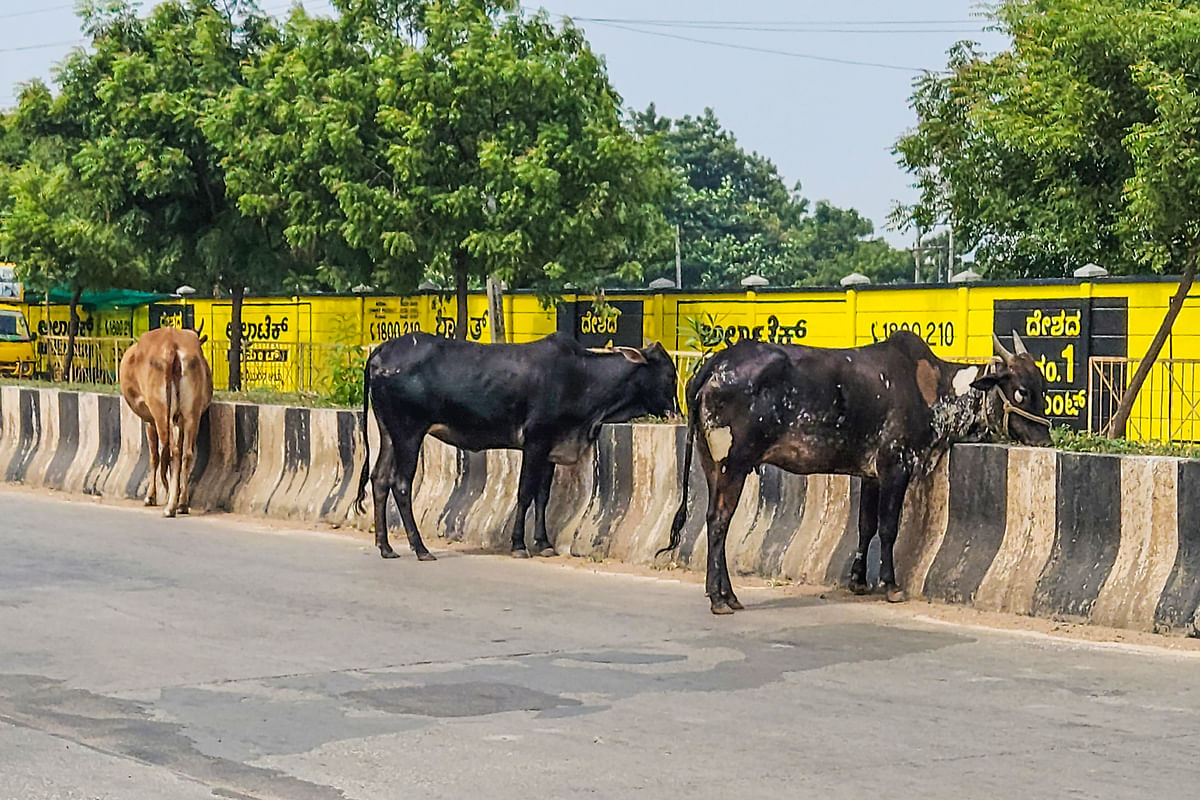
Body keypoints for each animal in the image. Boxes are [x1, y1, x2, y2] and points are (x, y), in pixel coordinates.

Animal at [119, 326, 213, 520]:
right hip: (191, 413)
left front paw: (150, 496)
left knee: (171, 451)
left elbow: (155, 456)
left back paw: (170, 506)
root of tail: (172, 346)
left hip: (161, 411)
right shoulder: (180, 420)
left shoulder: (150, 421)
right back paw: (182, 503)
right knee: (186, 453)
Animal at [352, 335, 676, 561]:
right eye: (670, 375)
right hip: (409, 433)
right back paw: (420, 548)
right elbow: (524, 493)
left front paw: (544, 543)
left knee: (379, 480)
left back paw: (386, 547)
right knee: (401, 484)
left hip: (388, 433)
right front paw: (519, 544)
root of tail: (380, 353)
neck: (582, 377)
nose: (676, 412)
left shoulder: (551, 448)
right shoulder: (535, 442)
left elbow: (542, 495)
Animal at [657, 328, 1051, 618]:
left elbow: (866, 525)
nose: (1046, 438)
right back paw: (720, 599)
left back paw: (727, 595)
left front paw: (859, 580)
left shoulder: (870, 474)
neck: (936, 391)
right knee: (718, 522)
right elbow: (889, 528)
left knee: (714, 520)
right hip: (732, 465)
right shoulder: (896, 467)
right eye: (1021, 391)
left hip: (711, 463)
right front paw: (890, 585)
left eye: (1043, 388)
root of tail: (715, 364)